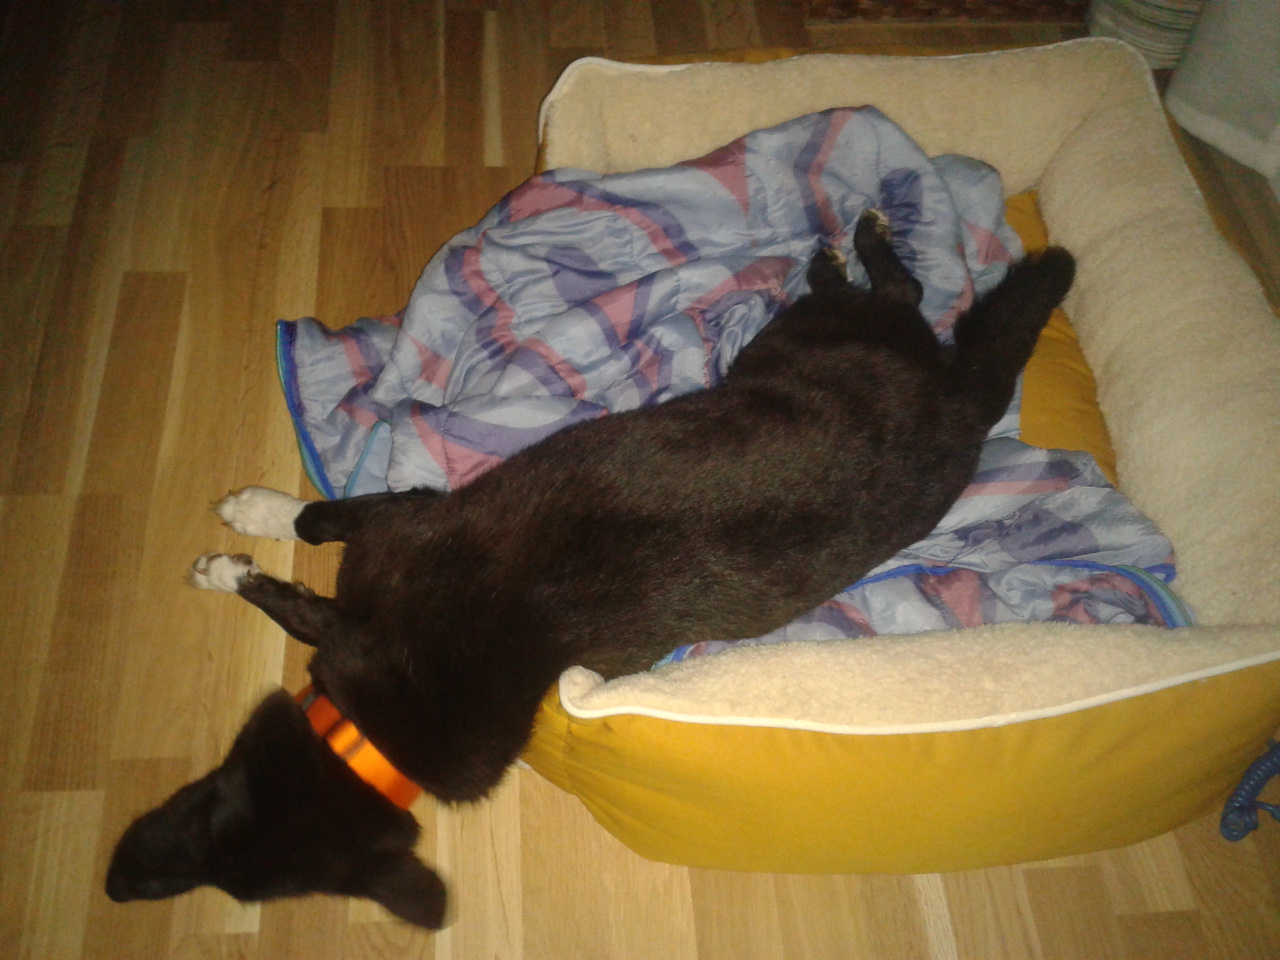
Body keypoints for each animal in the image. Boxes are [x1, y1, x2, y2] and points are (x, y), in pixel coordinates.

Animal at [106, 209, 1075, 928]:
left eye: (214, 816)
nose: (117, 885)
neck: (378, 726)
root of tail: (962, 408)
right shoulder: (406, 516)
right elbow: (320, 522)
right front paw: (257, 516)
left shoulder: (403, 529)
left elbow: (309, 550)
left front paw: (232, 557)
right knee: (911, 293)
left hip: (799, 339)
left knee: (898, 292)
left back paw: (845, 251)